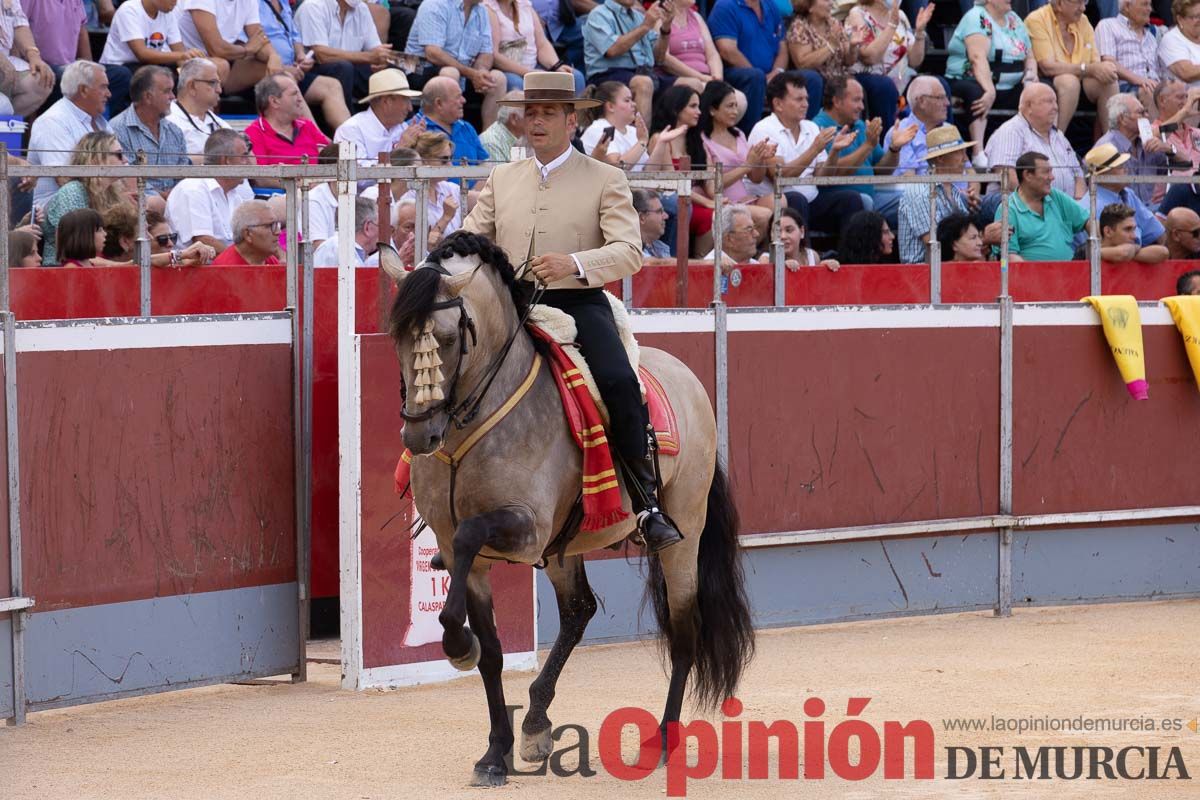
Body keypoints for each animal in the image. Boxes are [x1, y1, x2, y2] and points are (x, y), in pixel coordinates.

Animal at [381, 232, 748, 786]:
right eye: (398, 337)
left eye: (446, 339)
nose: (418, 436)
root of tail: (685, 377)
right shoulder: (472, 552)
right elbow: (492, 652)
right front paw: (496, 752)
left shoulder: (523, 528)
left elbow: (469, 543)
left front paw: (457, 645)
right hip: (563, 548)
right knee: (578, 610)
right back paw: (536, 722)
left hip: (683, 532)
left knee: (684, 632)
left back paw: (662, 741)